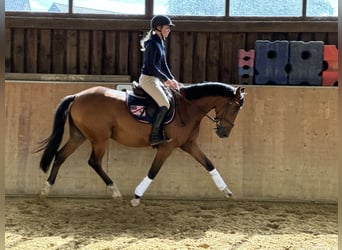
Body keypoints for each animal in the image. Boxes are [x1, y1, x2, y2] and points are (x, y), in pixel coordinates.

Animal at [36, 81, 246, 205]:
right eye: (236, 107)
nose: (224, 133)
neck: (187, 108)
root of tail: (78, 96)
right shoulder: (167, 147)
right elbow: (153, 171)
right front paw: (136, 196)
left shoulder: (189, 145)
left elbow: (209, 164)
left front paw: (227, 192)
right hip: (100, 139)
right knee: (94, 162)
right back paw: (115, 191)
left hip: (79, 136)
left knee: (60, 155)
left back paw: (46, 189)